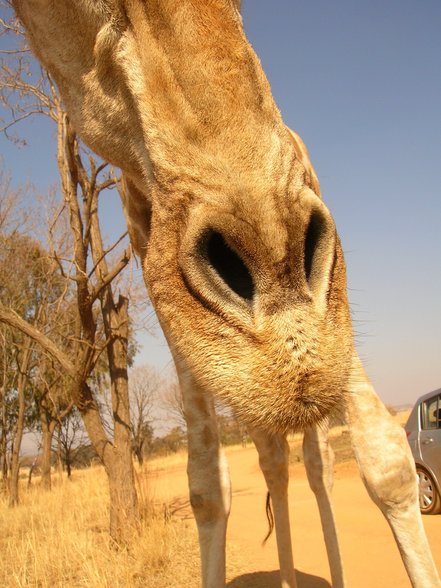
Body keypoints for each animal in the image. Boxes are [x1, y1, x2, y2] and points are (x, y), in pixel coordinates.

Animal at [11, 1, 440, 588]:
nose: (286, 337)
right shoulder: (155, 267)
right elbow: (206, 485)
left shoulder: (331, 304)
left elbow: (388, 462)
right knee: (275, 458)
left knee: (319, 463)